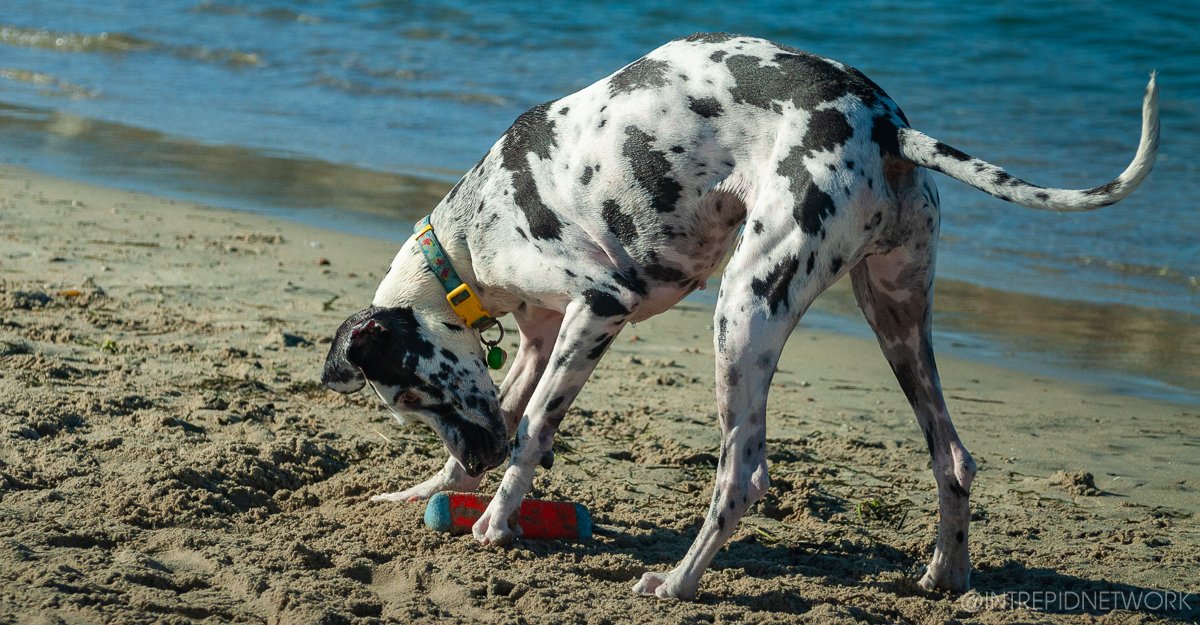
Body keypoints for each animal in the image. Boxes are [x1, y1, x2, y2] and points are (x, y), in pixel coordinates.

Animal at [324, 34, 1156, 599]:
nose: (478, 457)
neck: (470, 233)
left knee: (744, 474)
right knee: (952, 457)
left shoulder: (598, 309)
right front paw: (425, 491)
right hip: (894, 315)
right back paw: (946, 572)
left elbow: (530, 428)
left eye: (418, 391)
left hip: (744, 310)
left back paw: (677, 582)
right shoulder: (535, 343)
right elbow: (508, 408)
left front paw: (495, 521)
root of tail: (887, 123)